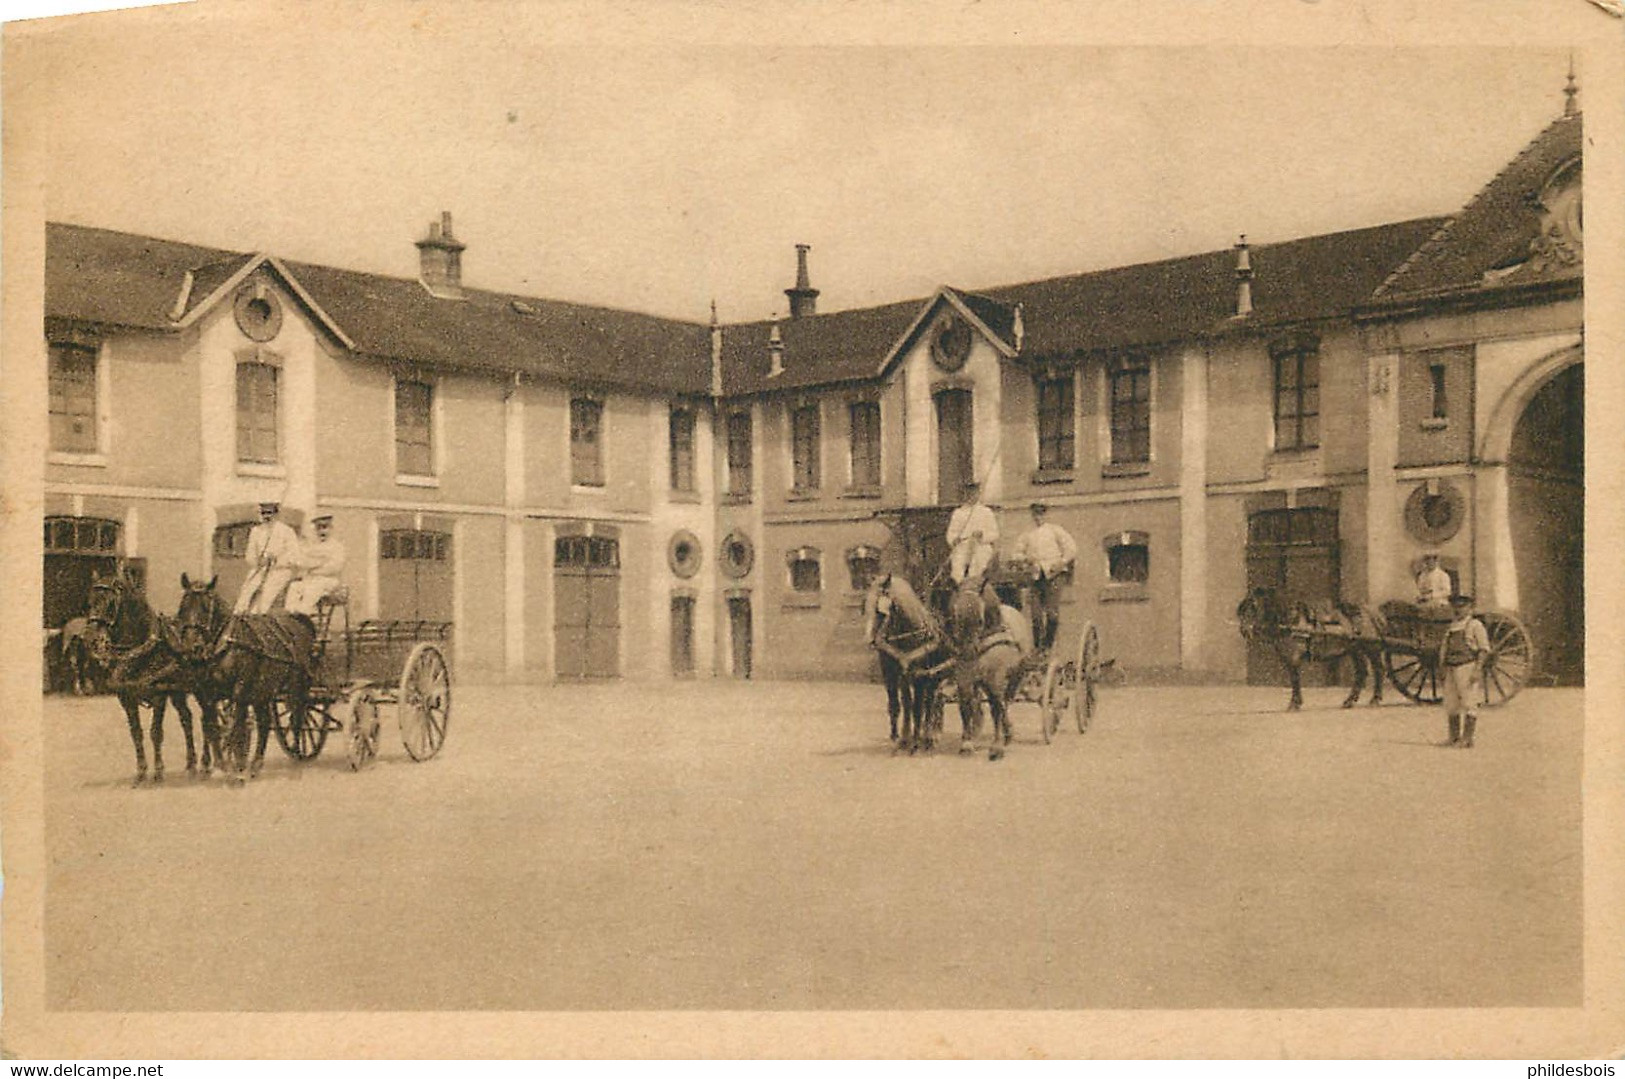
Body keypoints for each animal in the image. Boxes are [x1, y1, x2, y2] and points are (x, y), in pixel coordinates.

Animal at [82, 572, 214, 783]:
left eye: (110, 603)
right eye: (89, 602)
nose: (91, 639)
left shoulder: (159, 695)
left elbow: (155, 732)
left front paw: (158, 771)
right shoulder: (126, 698)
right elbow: (136, 733)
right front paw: (141, 771)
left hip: (201, 689)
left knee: (207, 719)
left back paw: (205, 764)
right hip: (177, 692)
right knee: (187, 718)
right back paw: (191, 764)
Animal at [871, 572, 955, 750]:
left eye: (882, 610)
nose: (874, 640)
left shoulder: (919, 675)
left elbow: (918, 707)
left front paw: (916, 740)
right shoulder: (899, 673)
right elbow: (904, 704)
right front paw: (903, 737)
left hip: (936, 675)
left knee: (932, 701)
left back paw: (930, 735)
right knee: (932, 700)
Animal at [949, 578, 1033, 763]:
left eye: (980, 620)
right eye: (956, 616)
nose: (968, 652)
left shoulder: (996, 678)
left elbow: (996, 708)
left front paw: (996, 748)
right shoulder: (965, 678)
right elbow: (966, 705)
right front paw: (967, 744)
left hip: (1014, 676)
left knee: (1005, 702)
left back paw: (1006, 733)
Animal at [1235, 585, 1391, 711]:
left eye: (1253, 607)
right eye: (1241, 611)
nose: (1244, 631)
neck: (1291, 621)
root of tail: (1371, 612)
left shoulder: (1293, 658)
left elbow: (1295, 679)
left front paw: (1294, 704)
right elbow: (1293, 679)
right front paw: (1296, 703)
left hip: (1372, 650)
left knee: (1378, 670)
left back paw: (1375, 699)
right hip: (1356, 650)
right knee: (1361, 672)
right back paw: (1349, 701)